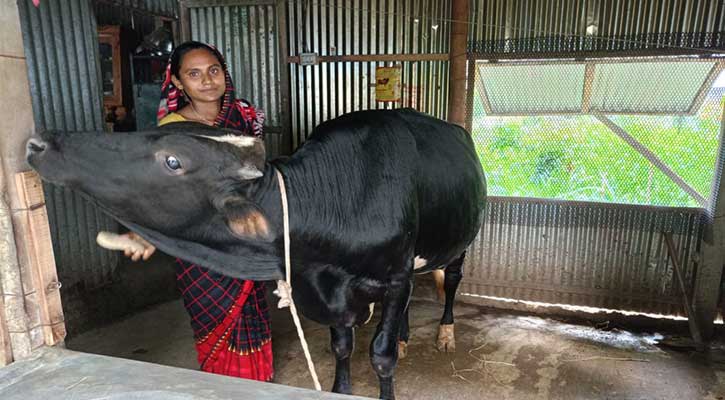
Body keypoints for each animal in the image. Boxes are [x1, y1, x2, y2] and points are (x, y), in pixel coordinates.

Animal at [25, 108, 486, 398]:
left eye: (173, 160)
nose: (39, 142)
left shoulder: (393, 277)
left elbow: (382, 356)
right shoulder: (325, 285)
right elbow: (342, 347)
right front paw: (340, 389)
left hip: (464, 241)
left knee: (451, 282)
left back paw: (445, 333)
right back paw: (409, 336)